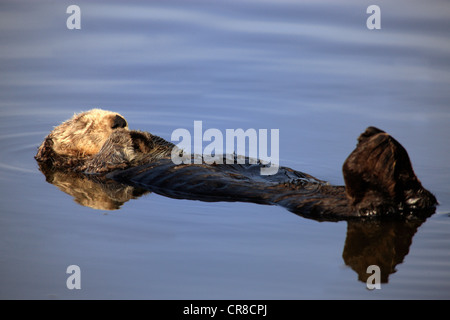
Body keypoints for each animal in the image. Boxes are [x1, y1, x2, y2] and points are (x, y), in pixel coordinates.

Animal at [35, 109, 436, 219]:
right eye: (83, 122)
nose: (117, 119)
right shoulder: (96, 173)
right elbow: (107, 159)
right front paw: (122, 137)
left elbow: (167, 144)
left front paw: (137, 131)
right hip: (339, 206)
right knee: (372, 203)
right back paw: (376, 148)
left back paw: (382, 143)